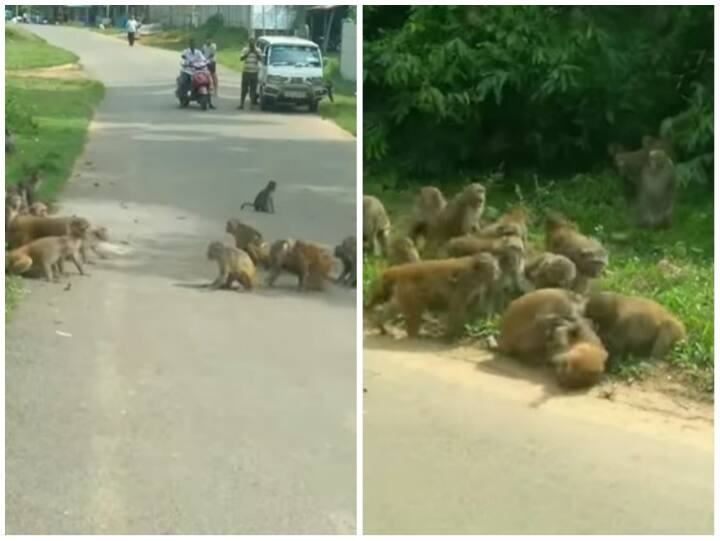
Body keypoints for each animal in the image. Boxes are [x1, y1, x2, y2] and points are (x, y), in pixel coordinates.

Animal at [366, 252, 500, 338]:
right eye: (494, 267)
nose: (498, 272)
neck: (475, 272)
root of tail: (401, 270)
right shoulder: (466, 284)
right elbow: (457, 308)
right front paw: (450, 336)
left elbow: (471, 307)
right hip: (409, 290)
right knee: (415, 308)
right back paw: (413, 334)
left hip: (403, 291)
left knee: (396, 306)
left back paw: (380, 324)